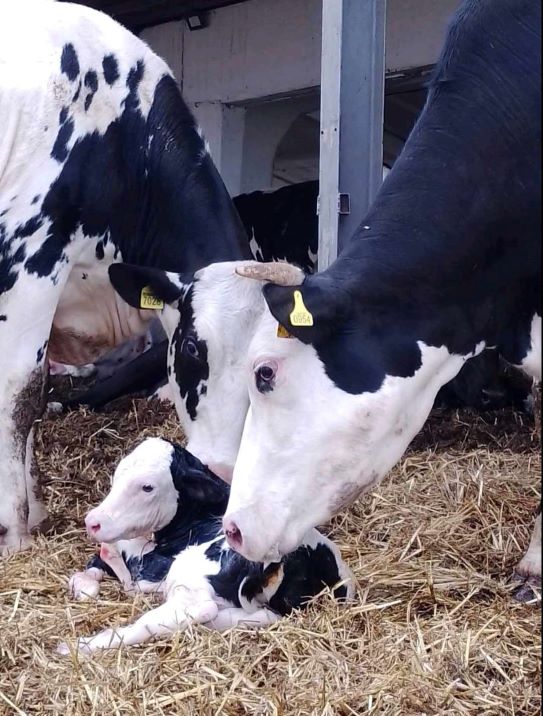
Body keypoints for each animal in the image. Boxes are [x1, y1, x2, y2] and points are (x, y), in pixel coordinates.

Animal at [0, 0, 250, 552]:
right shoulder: (30, 250)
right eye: (193, 348)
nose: (226, 470)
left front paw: (35, 510)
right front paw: (13, 530)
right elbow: (22, 390)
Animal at [61, 436, 354, 656]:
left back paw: (76, 646)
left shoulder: (151, 564)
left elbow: (119, 557)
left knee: (198, 609)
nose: (92, 521)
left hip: (192, 575)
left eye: (147, 487)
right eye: (117, 473)